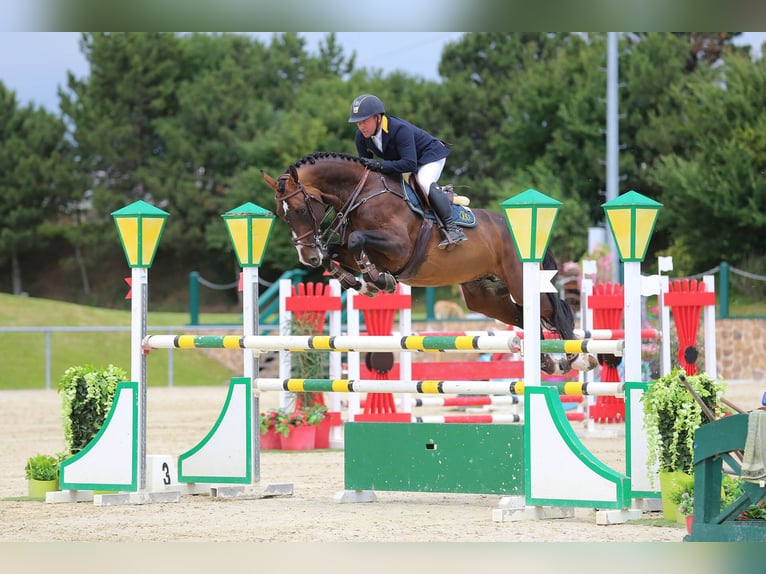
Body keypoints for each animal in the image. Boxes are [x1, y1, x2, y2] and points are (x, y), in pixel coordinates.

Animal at [260, 151, 596, 376]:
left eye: (301, 209)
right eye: (281, 214)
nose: (307, 257)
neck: (362, 194)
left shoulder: (398, 247)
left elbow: (356, 240)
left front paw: (375, 279)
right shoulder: (350, 248)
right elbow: (336, 251)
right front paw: (357, 282)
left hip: (521, 281)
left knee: (554, 308)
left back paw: (578, 358)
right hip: (484, 298)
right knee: (524, 316)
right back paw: (548, 361)